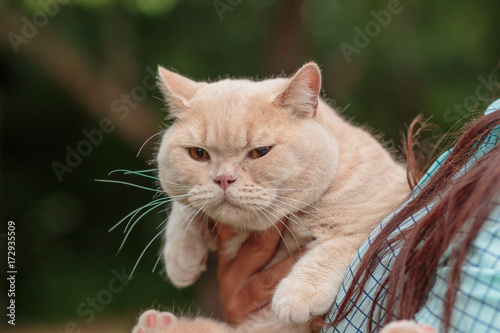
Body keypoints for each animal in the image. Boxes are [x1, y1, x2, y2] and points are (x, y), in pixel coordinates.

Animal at [132, 63, 410, 332]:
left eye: (260, 152)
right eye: (198, 154)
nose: (223, 179)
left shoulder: (381, 208)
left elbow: (340, 243)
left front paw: (298, 293)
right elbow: (184, 208)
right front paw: (181, 258)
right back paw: (156, 324)